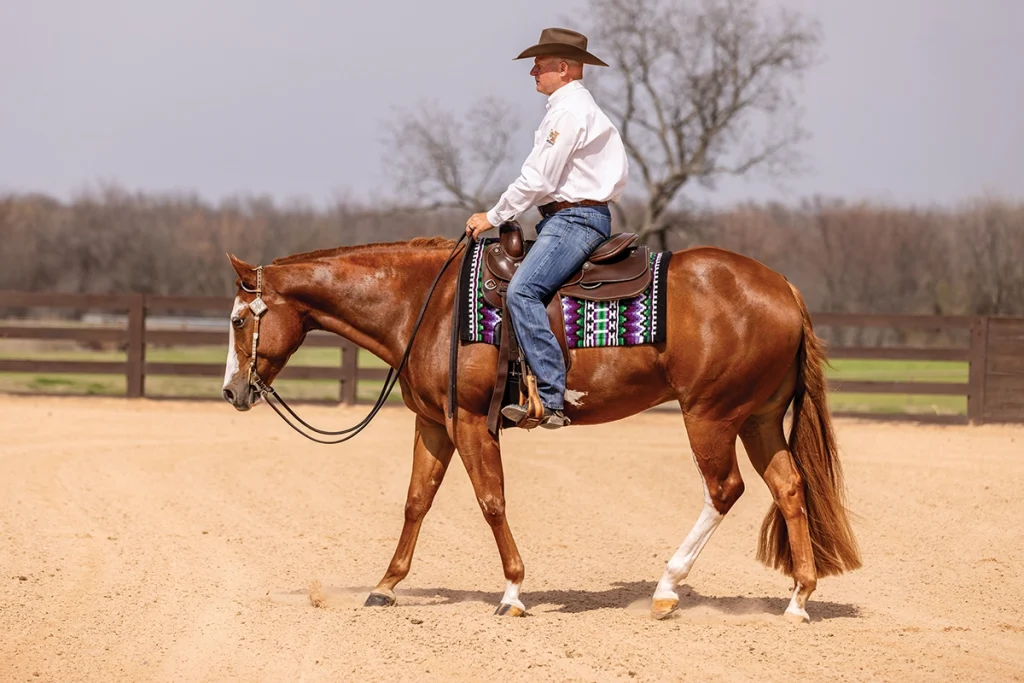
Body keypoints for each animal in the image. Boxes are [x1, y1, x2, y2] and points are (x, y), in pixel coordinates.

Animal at [220, 235, 861, 622]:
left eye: (237, 320)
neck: (426, 304)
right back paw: (798, 598)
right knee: (790, 488)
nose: (231, 391)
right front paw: (386, 585)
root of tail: (783, 288)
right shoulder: (434, 423)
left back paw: (666, 590)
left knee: (724, 490)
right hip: (757, 419)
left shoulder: (470, 423)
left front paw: (511, 593)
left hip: (710, 415)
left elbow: (491, 501)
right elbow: (416, 501)